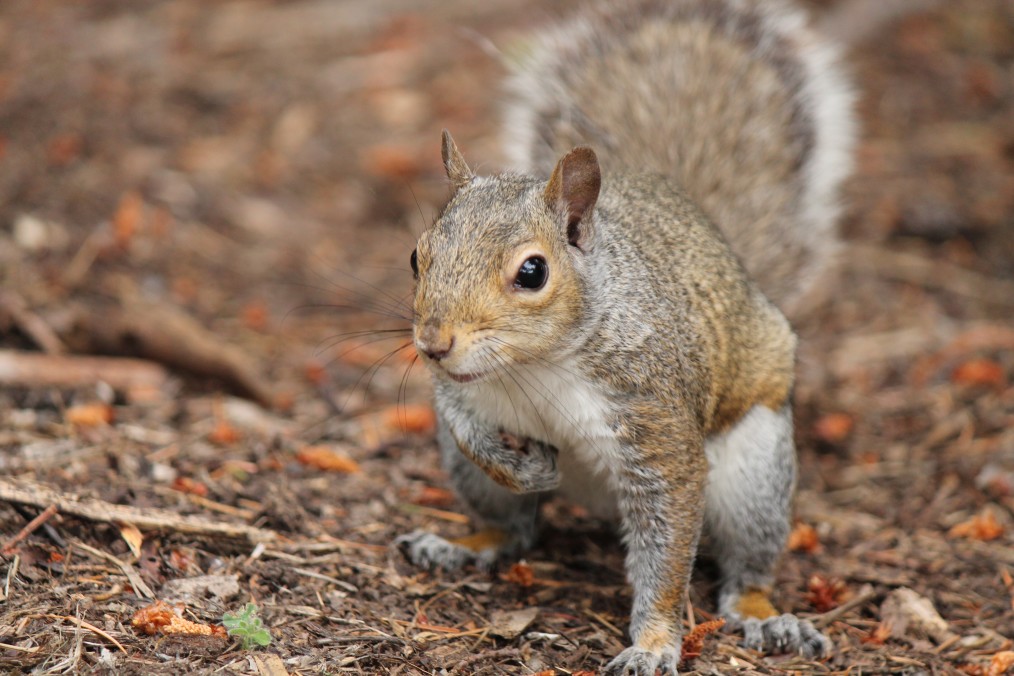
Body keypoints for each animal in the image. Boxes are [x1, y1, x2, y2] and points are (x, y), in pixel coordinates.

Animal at [395, 0, 855, 672]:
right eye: (416, 255)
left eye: (532, 272)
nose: (432, 343)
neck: (535, 364)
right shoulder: (458, 392)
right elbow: (466, 427)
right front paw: (521, 467)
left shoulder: (656, 422)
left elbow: (666, 548)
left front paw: (654, 644)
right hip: (468, 480)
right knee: (512, 529)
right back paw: (463, 543)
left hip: (755, 471)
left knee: (746, 568)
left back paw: (765, 615)